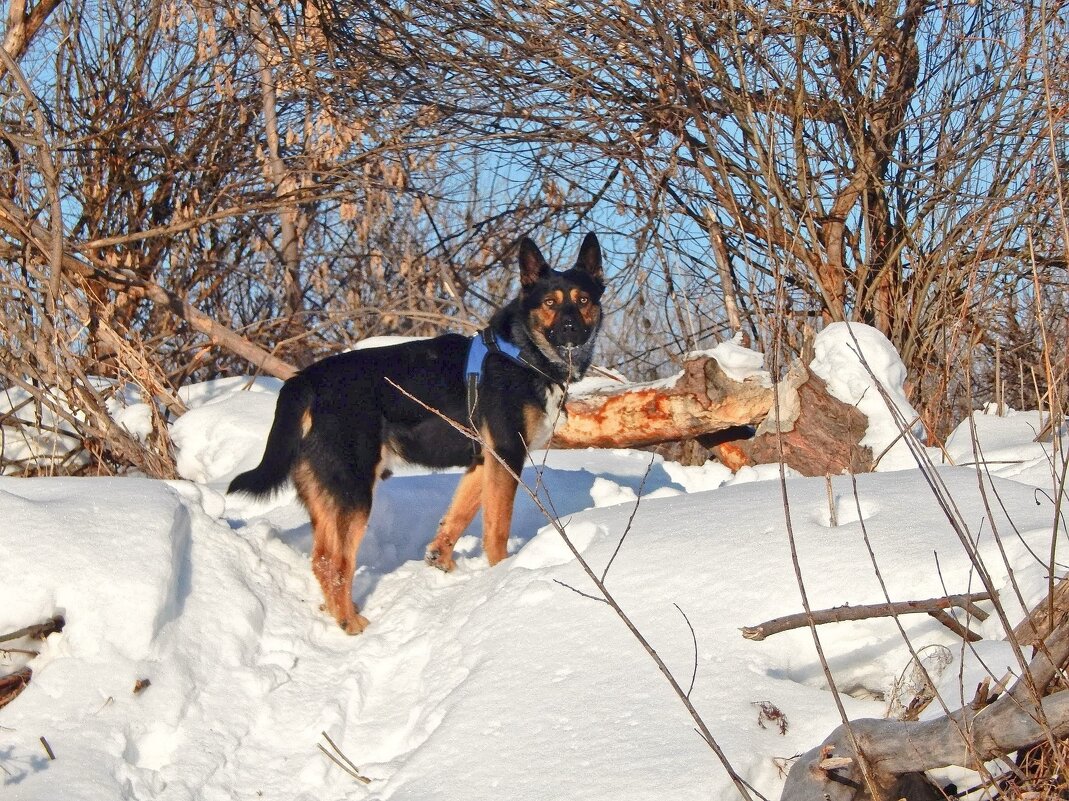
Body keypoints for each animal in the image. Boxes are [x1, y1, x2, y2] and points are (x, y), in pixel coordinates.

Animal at [228, 230, 607, 633]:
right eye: (550, 303)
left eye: (583, 300)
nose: (571, 330)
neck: (522, 352)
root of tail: (305, 380)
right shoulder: (506, 454)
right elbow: (496, 527)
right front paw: (503, 574)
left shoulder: (483, 462)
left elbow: (458, 516)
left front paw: (441, 559)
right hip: (354, 491)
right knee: (336, 563)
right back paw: (351, 623)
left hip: (326, 493)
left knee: (321, 559)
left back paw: (337, 611)